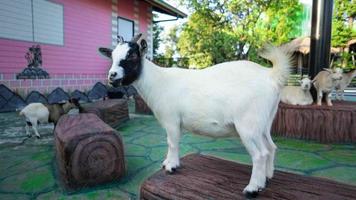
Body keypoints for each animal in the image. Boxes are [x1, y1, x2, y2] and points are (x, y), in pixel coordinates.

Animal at [98, 34, 294, 197]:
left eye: (132, 56)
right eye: (112, 57)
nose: (112, 76)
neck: (158, 81)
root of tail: (271, 76)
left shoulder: (172, 119)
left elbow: (172, 142)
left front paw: (171, 166)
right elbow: (170, 142)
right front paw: (166, 163)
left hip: (248, 125)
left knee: (260, 154)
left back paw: (253, 188)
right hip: (264, 122)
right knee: (271, 147)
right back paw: (266, 178)